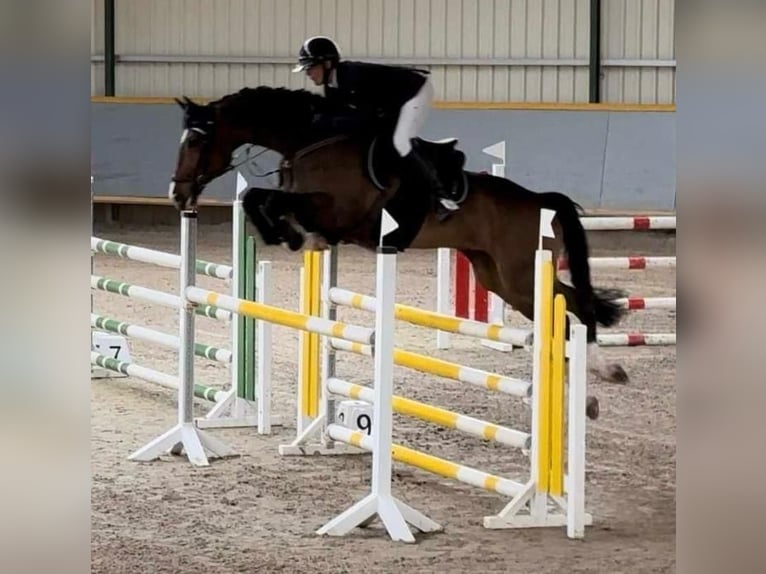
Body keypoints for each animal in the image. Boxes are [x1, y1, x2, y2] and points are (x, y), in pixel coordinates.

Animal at [168, 86, 632, 418]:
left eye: (195, 141)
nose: (177, 194)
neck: (311, 140)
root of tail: (540, 199)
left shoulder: (338, 210)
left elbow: (266, 200)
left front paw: (297, 237)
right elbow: (260, 200)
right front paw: (297, 237)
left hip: (521, 274)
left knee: (574, 310)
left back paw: (600, 380)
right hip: (496, 276)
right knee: (566, 309)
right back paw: (584, 390)